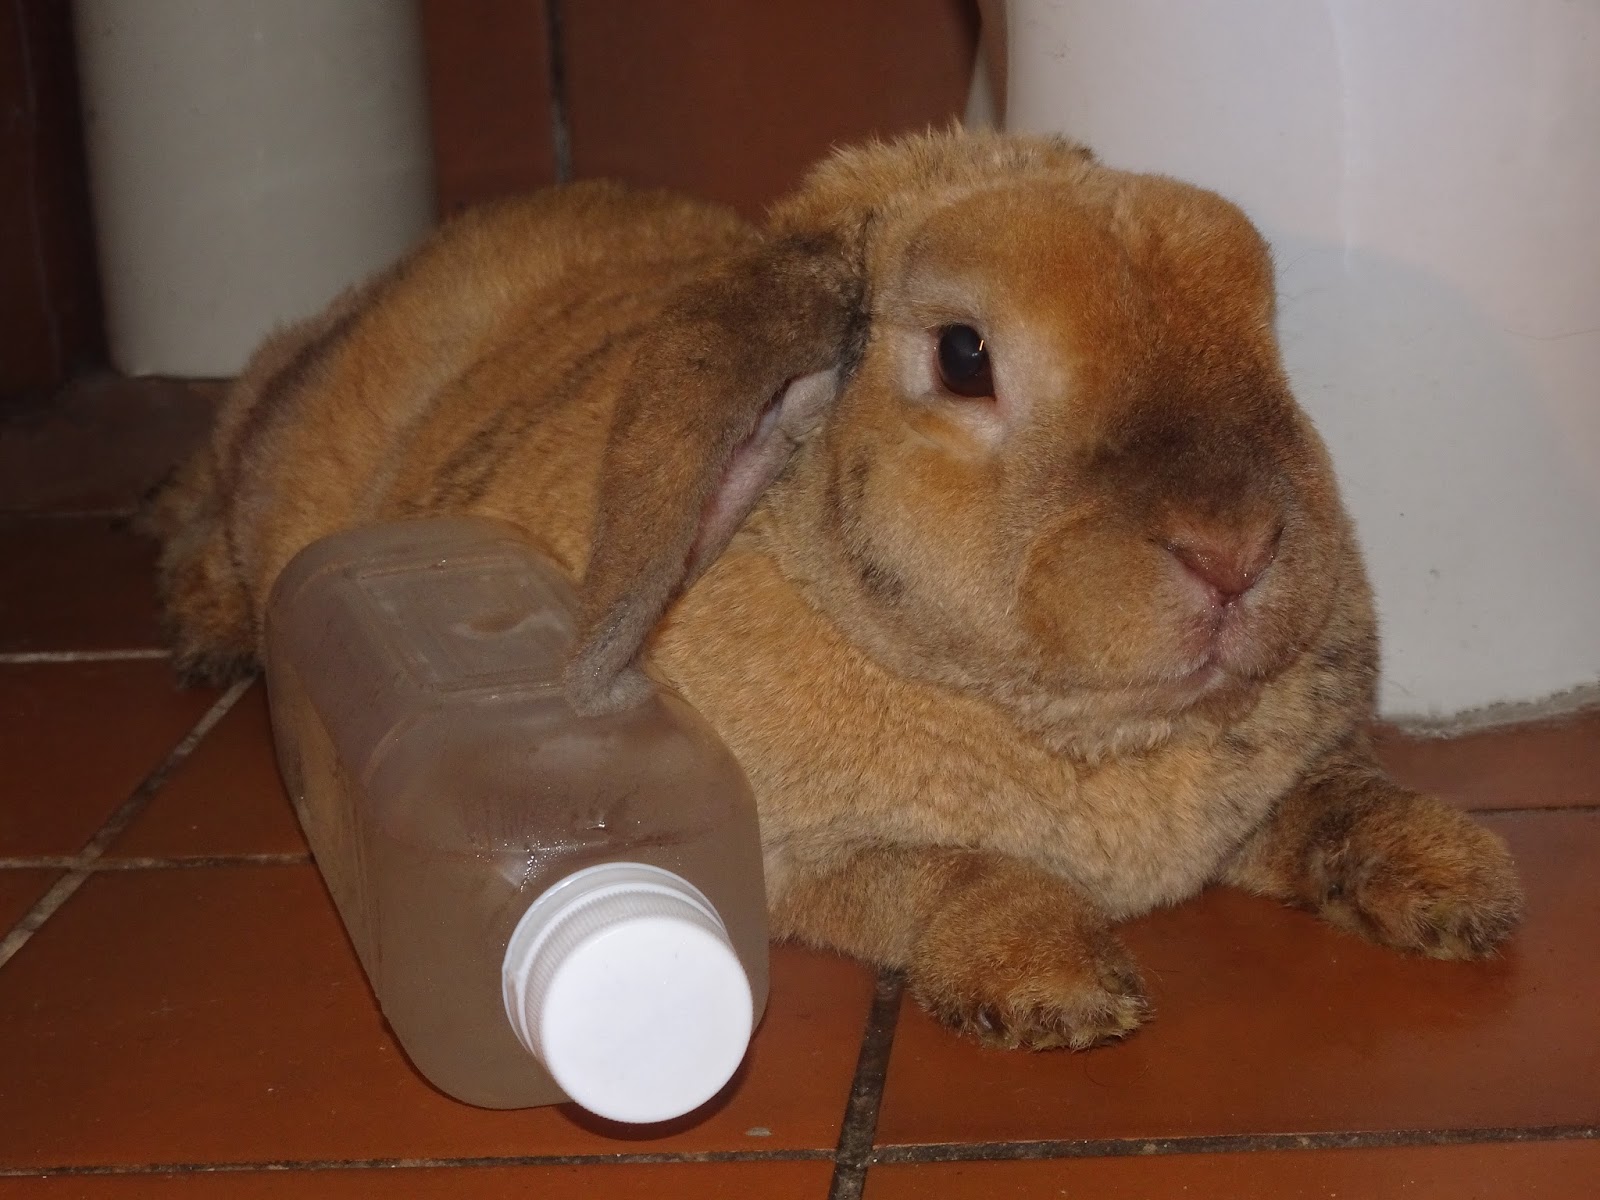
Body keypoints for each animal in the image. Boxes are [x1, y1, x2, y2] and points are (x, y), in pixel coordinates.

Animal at [145, 128, 1523, 1050]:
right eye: (964, 355)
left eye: (1264, 328)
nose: (1233, 547)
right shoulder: (811, 864)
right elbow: (953, 873)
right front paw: (1057, 991)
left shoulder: (1273, 794)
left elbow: (1338, 803)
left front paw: (1463, 887)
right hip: (276, 452)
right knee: (211, 486)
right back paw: (207, 627)